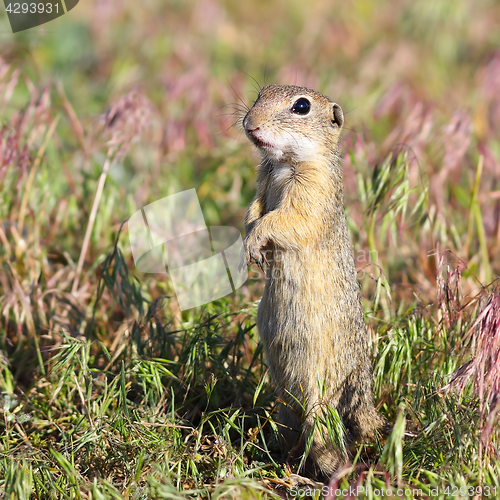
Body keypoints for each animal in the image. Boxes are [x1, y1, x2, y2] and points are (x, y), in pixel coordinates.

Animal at [242, 84, 382, 478]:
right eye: (260, 94)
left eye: (301, 106)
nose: (249, 123)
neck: (283, 163)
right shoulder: (262, 181)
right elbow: (254, 208)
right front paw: (249, 243)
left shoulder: (312, 194)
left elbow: (284, 219)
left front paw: (255, 241)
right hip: (285, 396)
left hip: (318, 387)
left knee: (324, 438)